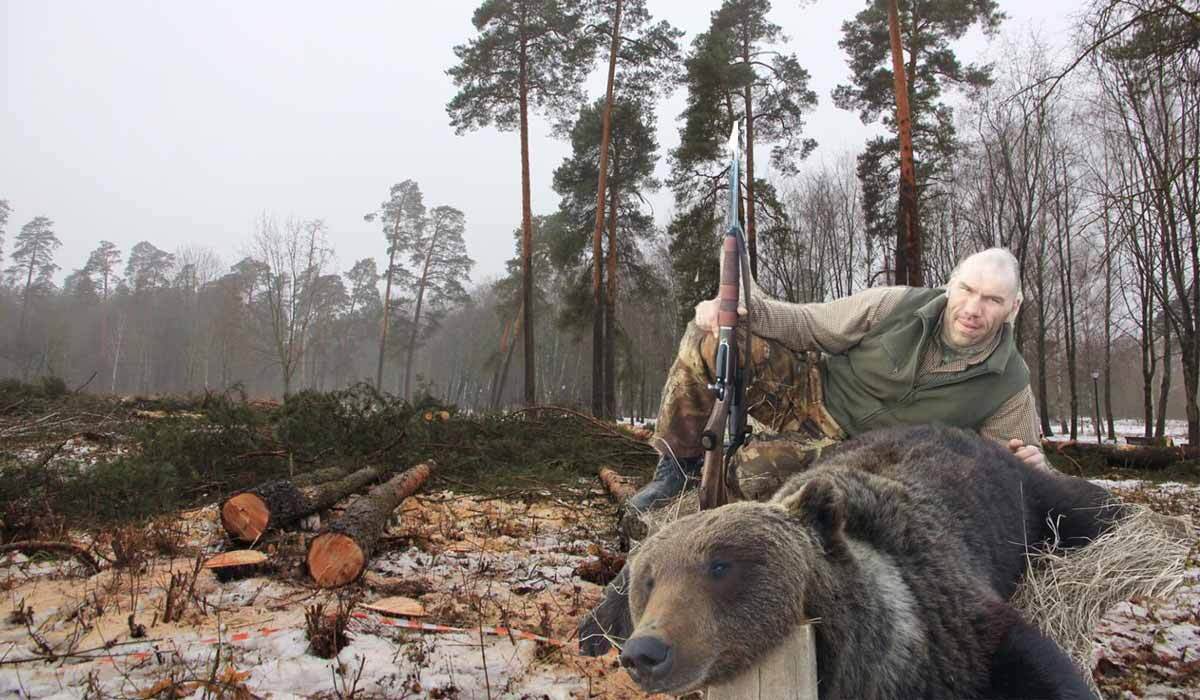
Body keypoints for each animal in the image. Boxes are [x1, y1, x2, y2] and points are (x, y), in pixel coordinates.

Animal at [580, 425, 1123, 696]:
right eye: (649, 582)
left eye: (719, 566)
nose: (646, 652)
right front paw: (595, 630)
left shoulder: (955, 623)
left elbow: (1037, 666)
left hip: (1030, 499)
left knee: (1089, 506)